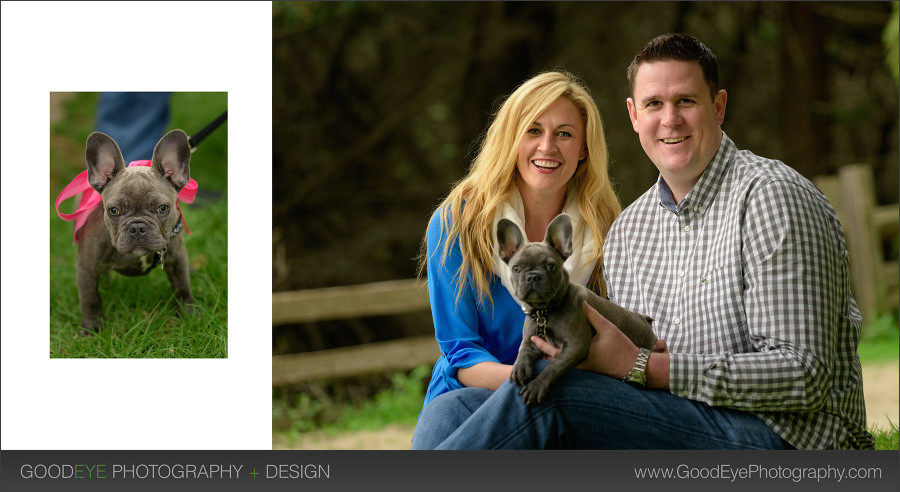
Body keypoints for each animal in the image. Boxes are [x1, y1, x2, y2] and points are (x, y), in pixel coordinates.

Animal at [77, 130, 197, 334]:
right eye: (113, 211)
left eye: (163, 208)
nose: (137, 228)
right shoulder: (86, 268)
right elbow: (90, 299)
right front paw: (93, 327)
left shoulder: (177, 258)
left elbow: (182, 286)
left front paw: (189, 314)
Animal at [496, 213, 656, 406]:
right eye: (516, 268)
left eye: (551, 266)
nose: (532, 276)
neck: (545, 311)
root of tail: (644, 320)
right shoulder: (531, 339)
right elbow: (523, 350)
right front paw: (519, 367)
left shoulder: (575, 346)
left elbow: (553, 367)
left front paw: (537, 386)